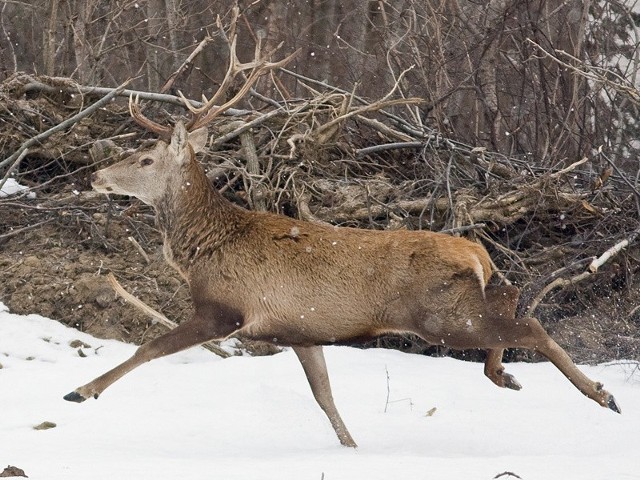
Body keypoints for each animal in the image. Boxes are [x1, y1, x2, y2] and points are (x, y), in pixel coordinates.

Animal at [65, 20, 620, 450]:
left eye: (145, 159)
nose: (96, 176)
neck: (202, 249)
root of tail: (477, 253)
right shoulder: (299, 331)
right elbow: (324, 395)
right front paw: (352, 446)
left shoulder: (225, 308)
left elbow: (149, 348)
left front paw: (80, 392)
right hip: (462, 304)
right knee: (514, 296)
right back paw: (507, 376)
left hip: (441, 315)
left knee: (529, 325)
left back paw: (600, 393)